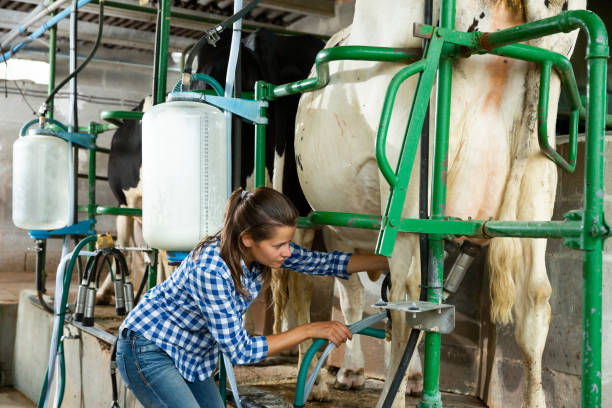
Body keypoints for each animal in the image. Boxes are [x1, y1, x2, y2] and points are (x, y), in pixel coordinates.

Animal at [292, 0, 584, 408]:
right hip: (538, 180)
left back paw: (391, 393)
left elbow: (336, 295)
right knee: (535, 298)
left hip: (408, 180)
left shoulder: (314, 221)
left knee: (405, 295)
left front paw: (336, 377)